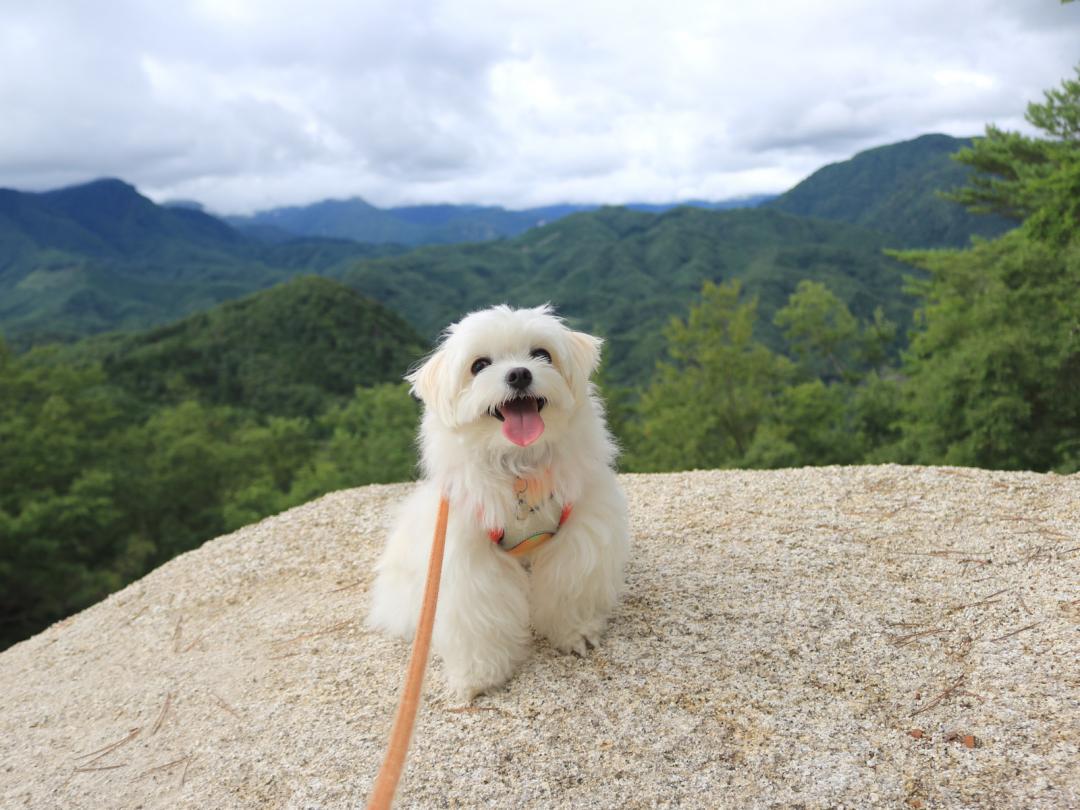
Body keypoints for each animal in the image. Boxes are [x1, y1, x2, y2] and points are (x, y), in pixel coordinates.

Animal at [367, 306, 630, 699]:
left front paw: (576, 633)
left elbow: (569, 587)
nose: (519, 373)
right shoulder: (466, 556)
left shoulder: (578, 532)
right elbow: (476, 614)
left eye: (541, 354)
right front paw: (478, 676)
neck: (520, 469)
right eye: (479, 365)